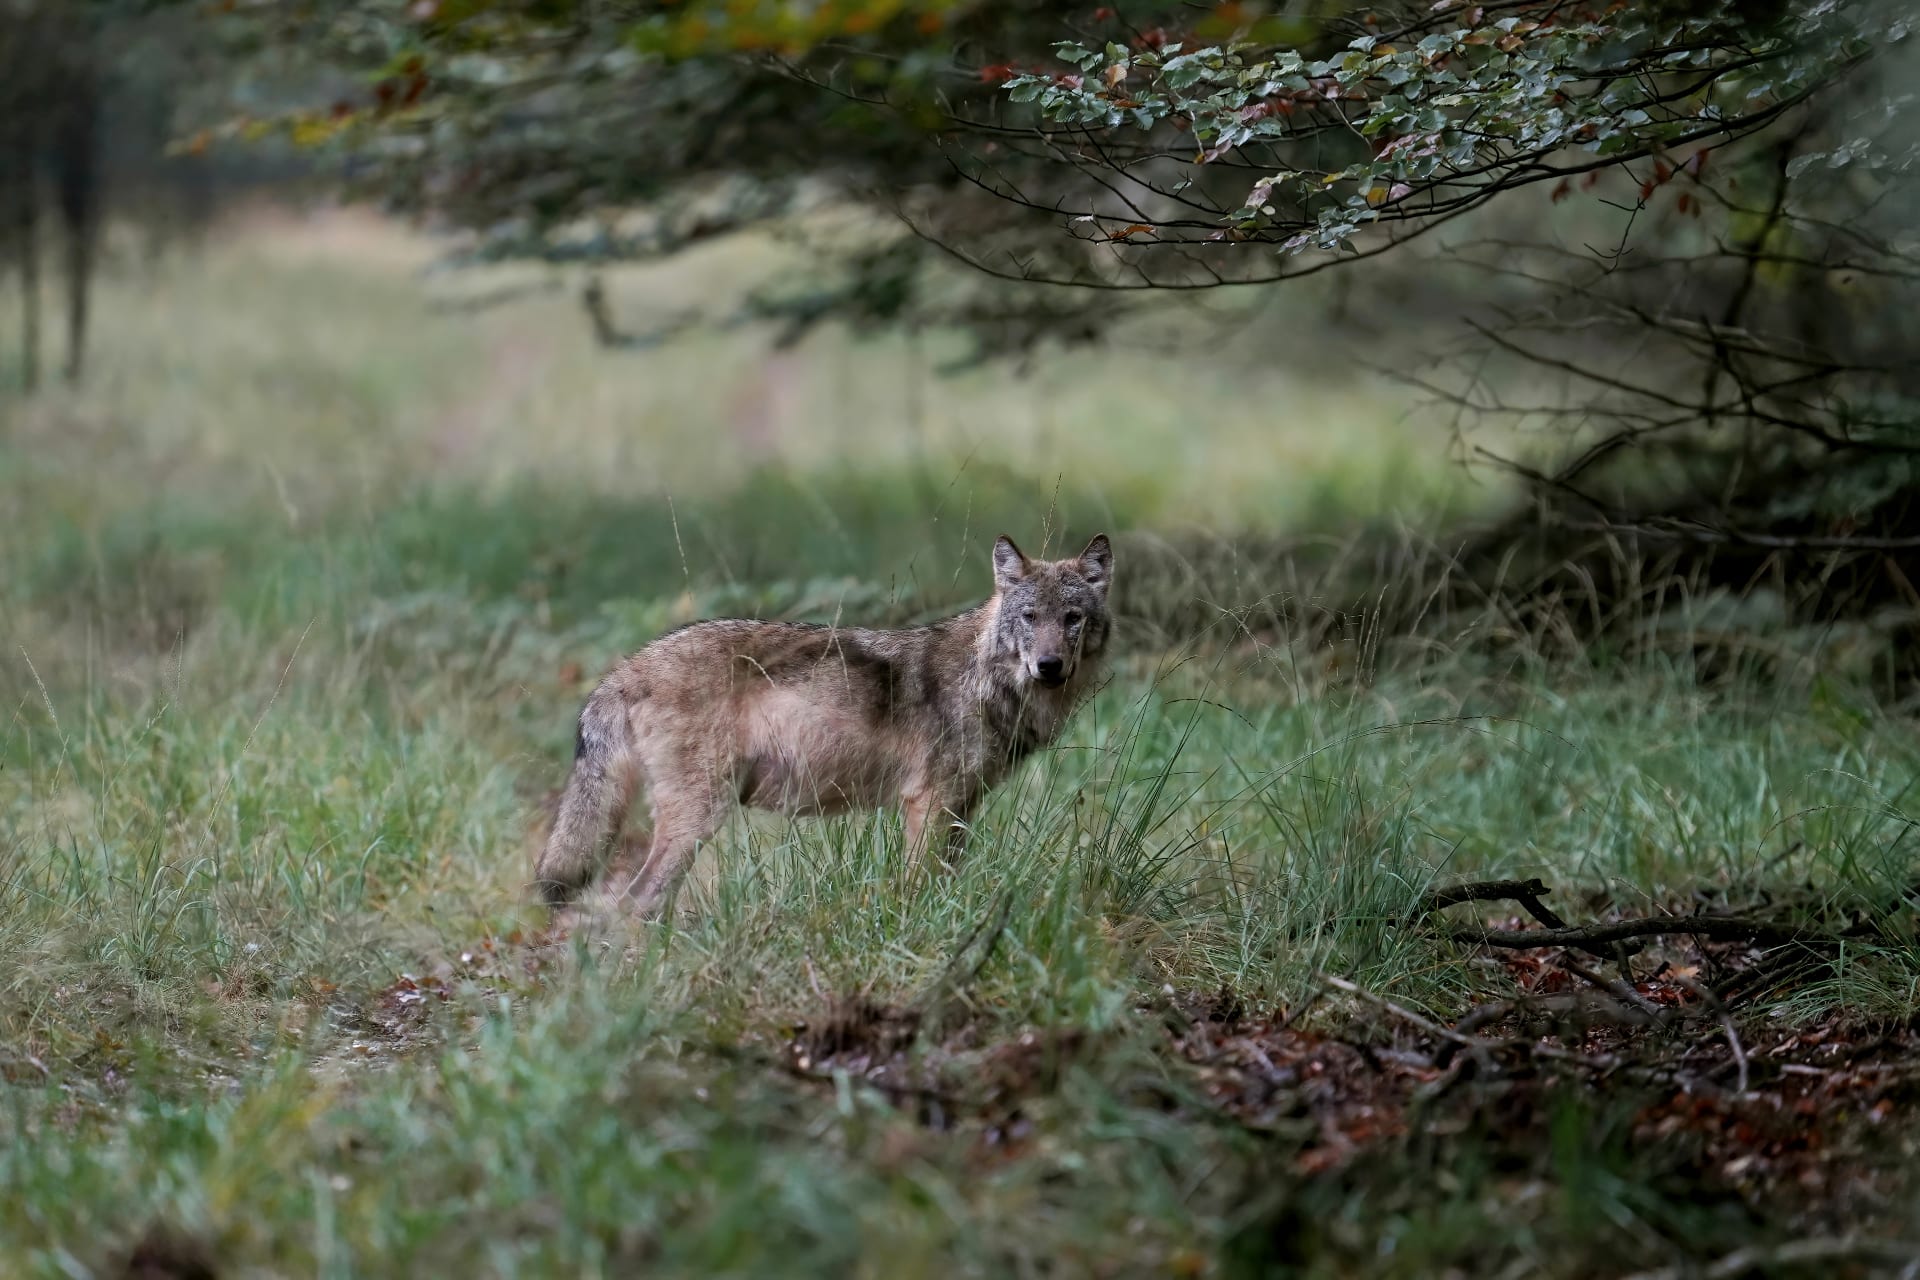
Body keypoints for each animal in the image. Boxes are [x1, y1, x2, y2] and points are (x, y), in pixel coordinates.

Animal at [533, 533, 1114, 918]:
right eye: (1030, 618)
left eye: (1072, 619)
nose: (1049, 666)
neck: (985, 679)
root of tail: (626, 668)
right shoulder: (928, 803)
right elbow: (918, 888)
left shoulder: (962, 808)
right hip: (698, 818)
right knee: (634, 903)